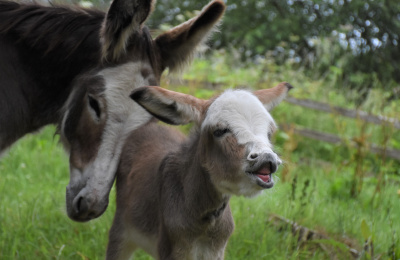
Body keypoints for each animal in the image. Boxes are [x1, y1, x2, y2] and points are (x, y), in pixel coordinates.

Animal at [106, 82, 294, 258]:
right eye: (220, 131)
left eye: (269, 133)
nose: (267, 159)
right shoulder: (172, 250)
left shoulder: (216, 252)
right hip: (121, 232)